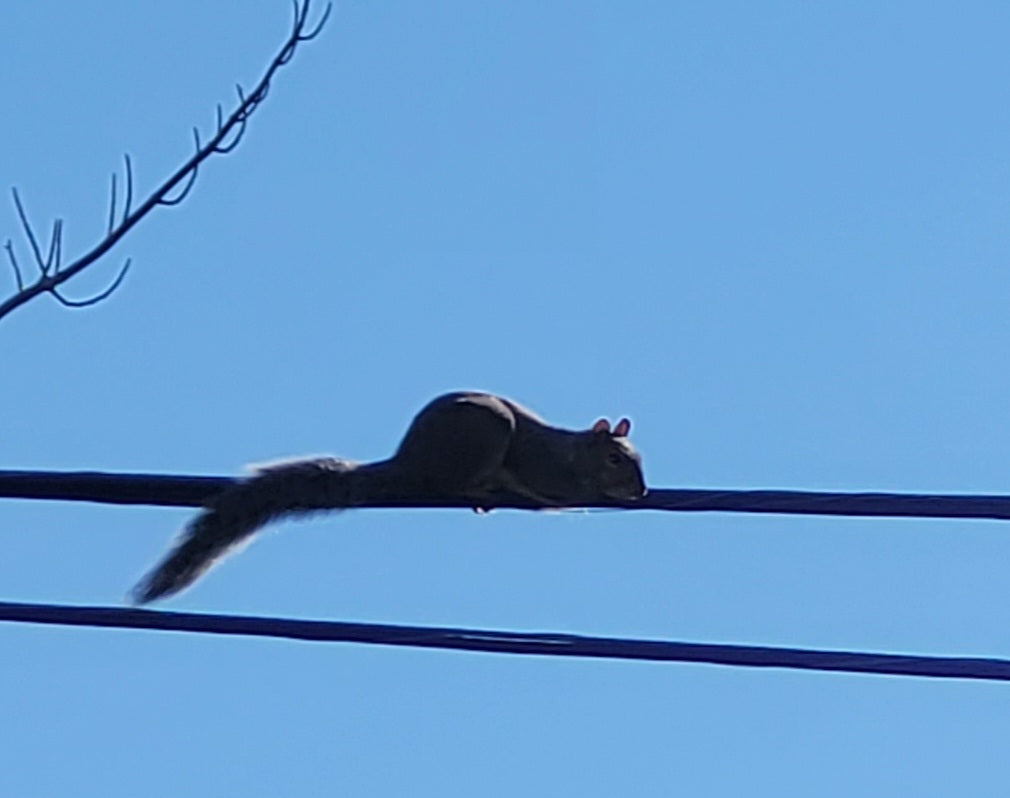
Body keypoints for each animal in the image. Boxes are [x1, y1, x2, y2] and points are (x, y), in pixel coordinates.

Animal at [131, 391, 646, 604]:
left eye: (640, 455)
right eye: (616, 459)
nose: (643, 490)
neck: (575, 450)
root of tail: (408, 460)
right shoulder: (546, 469)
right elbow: (557, 492)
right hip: (483, 437)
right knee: (450, 484)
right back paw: (479, 487)